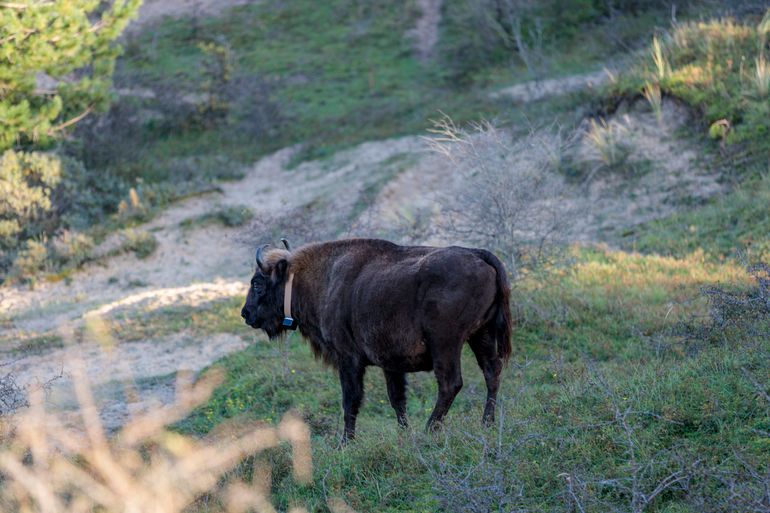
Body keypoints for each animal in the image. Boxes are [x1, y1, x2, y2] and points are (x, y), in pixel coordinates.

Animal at [240, 237, 510, 440]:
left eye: (257, 283)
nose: (246, 313)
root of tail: (478, 254)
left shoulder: (348, 360)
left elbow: (351, 401)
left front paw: (345, 443)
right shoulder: (391, 364)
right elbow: (397, 399)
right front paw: (403, 435)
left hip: (446, 343)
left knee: (450, 383)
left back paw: (429, 430)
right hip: (481, 335)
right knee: (492, 371)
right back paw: (486, 424)